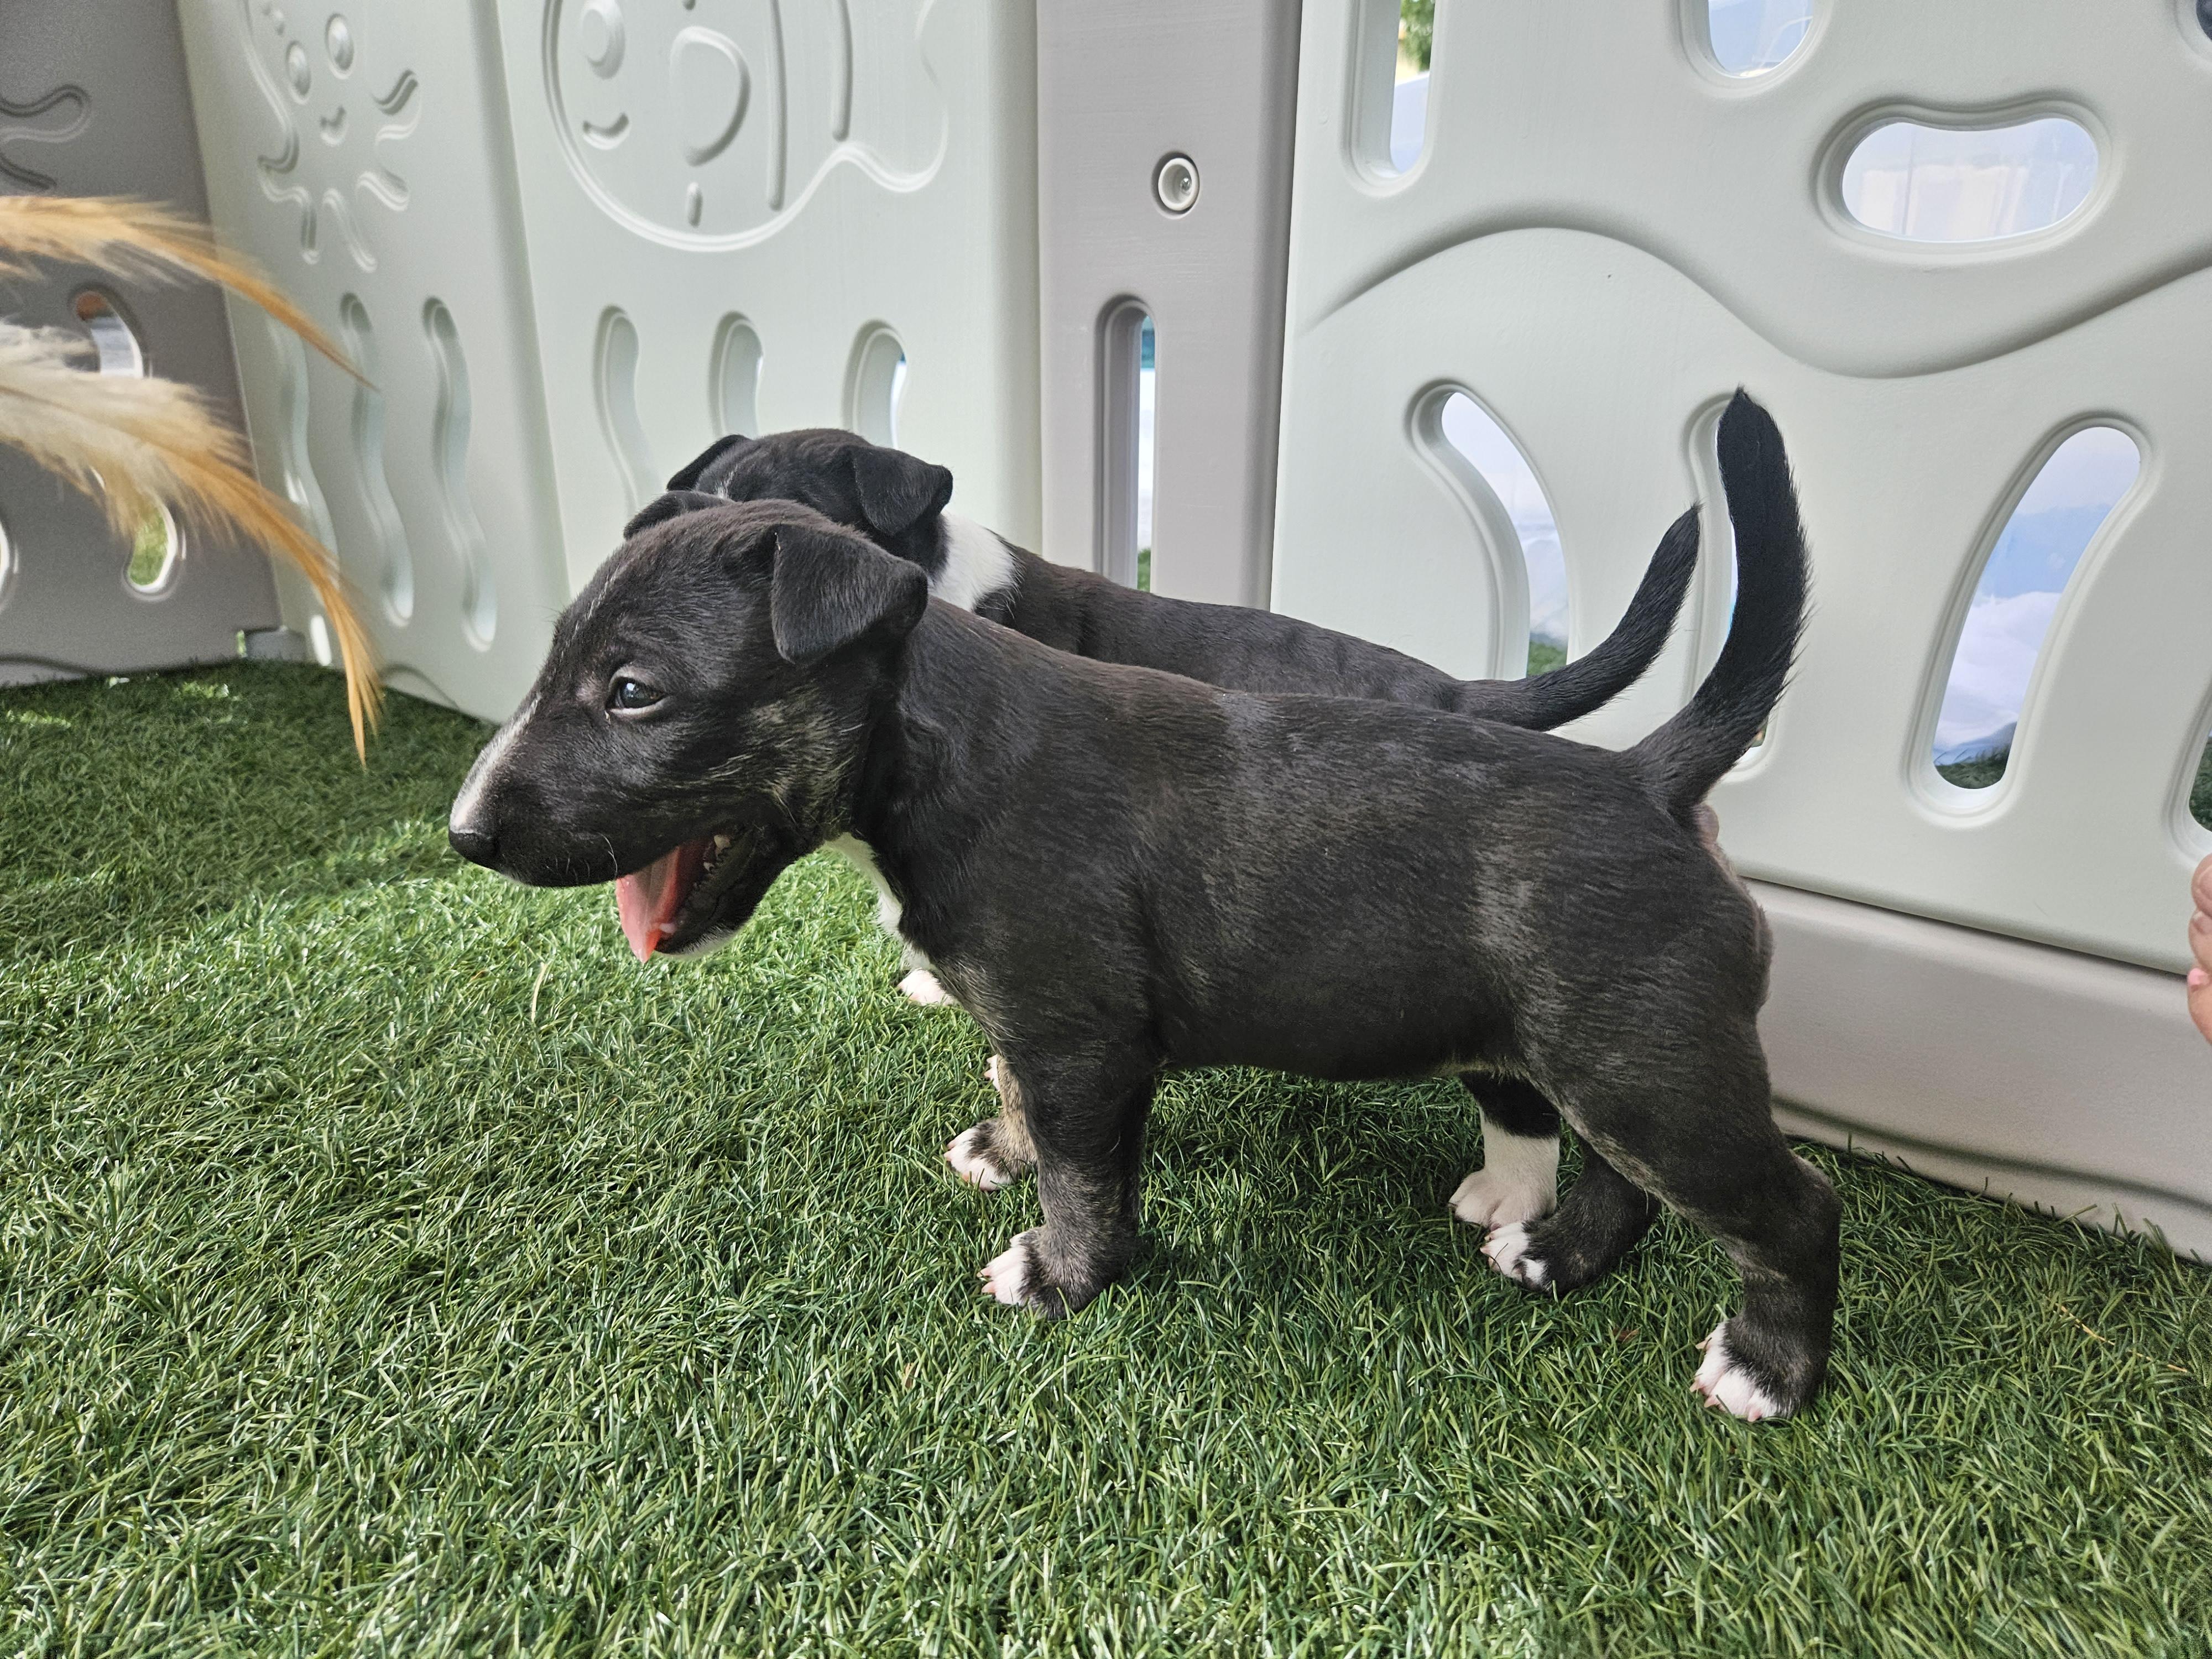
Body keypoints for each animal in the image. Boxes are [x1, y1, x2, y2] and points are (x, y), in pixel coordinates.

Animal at [449, 392, 1839, 1422]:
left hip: (1650, 1071)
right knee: (1618, 1176)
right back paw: (1553, 1254)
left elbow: (1082, 1177)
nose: (463, 834)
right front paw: (998, 1154)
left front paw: (1055, 1275)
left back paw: (1760, 1373)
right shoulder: (1037, 1028)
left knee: (1789, 1208)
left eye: (633, 692)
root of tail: (1646, 774)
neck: (934, 743)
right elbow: (1014, 1097)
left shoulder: (1082, 1041)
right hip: (1606, 1055)